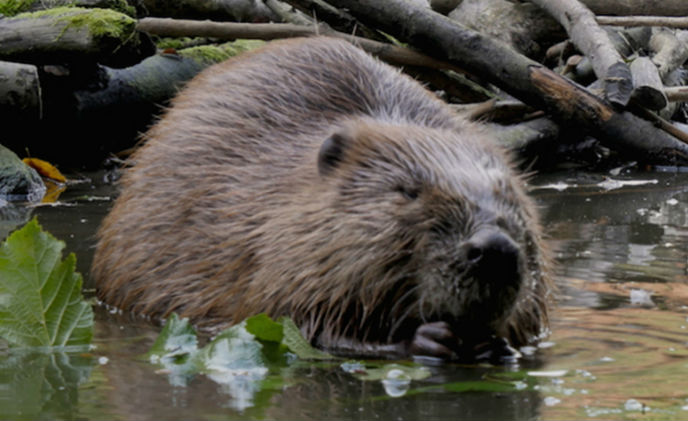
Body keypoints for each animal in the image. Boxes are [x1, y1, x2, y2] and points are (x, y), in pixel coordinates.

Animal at [92, 36, 552, 360]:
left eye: (507, 192)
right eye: (408, 190)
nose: (494, 249)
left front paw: (497, 345)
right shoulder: (265, 248)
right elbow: (296, 320)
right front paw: (426, 340)